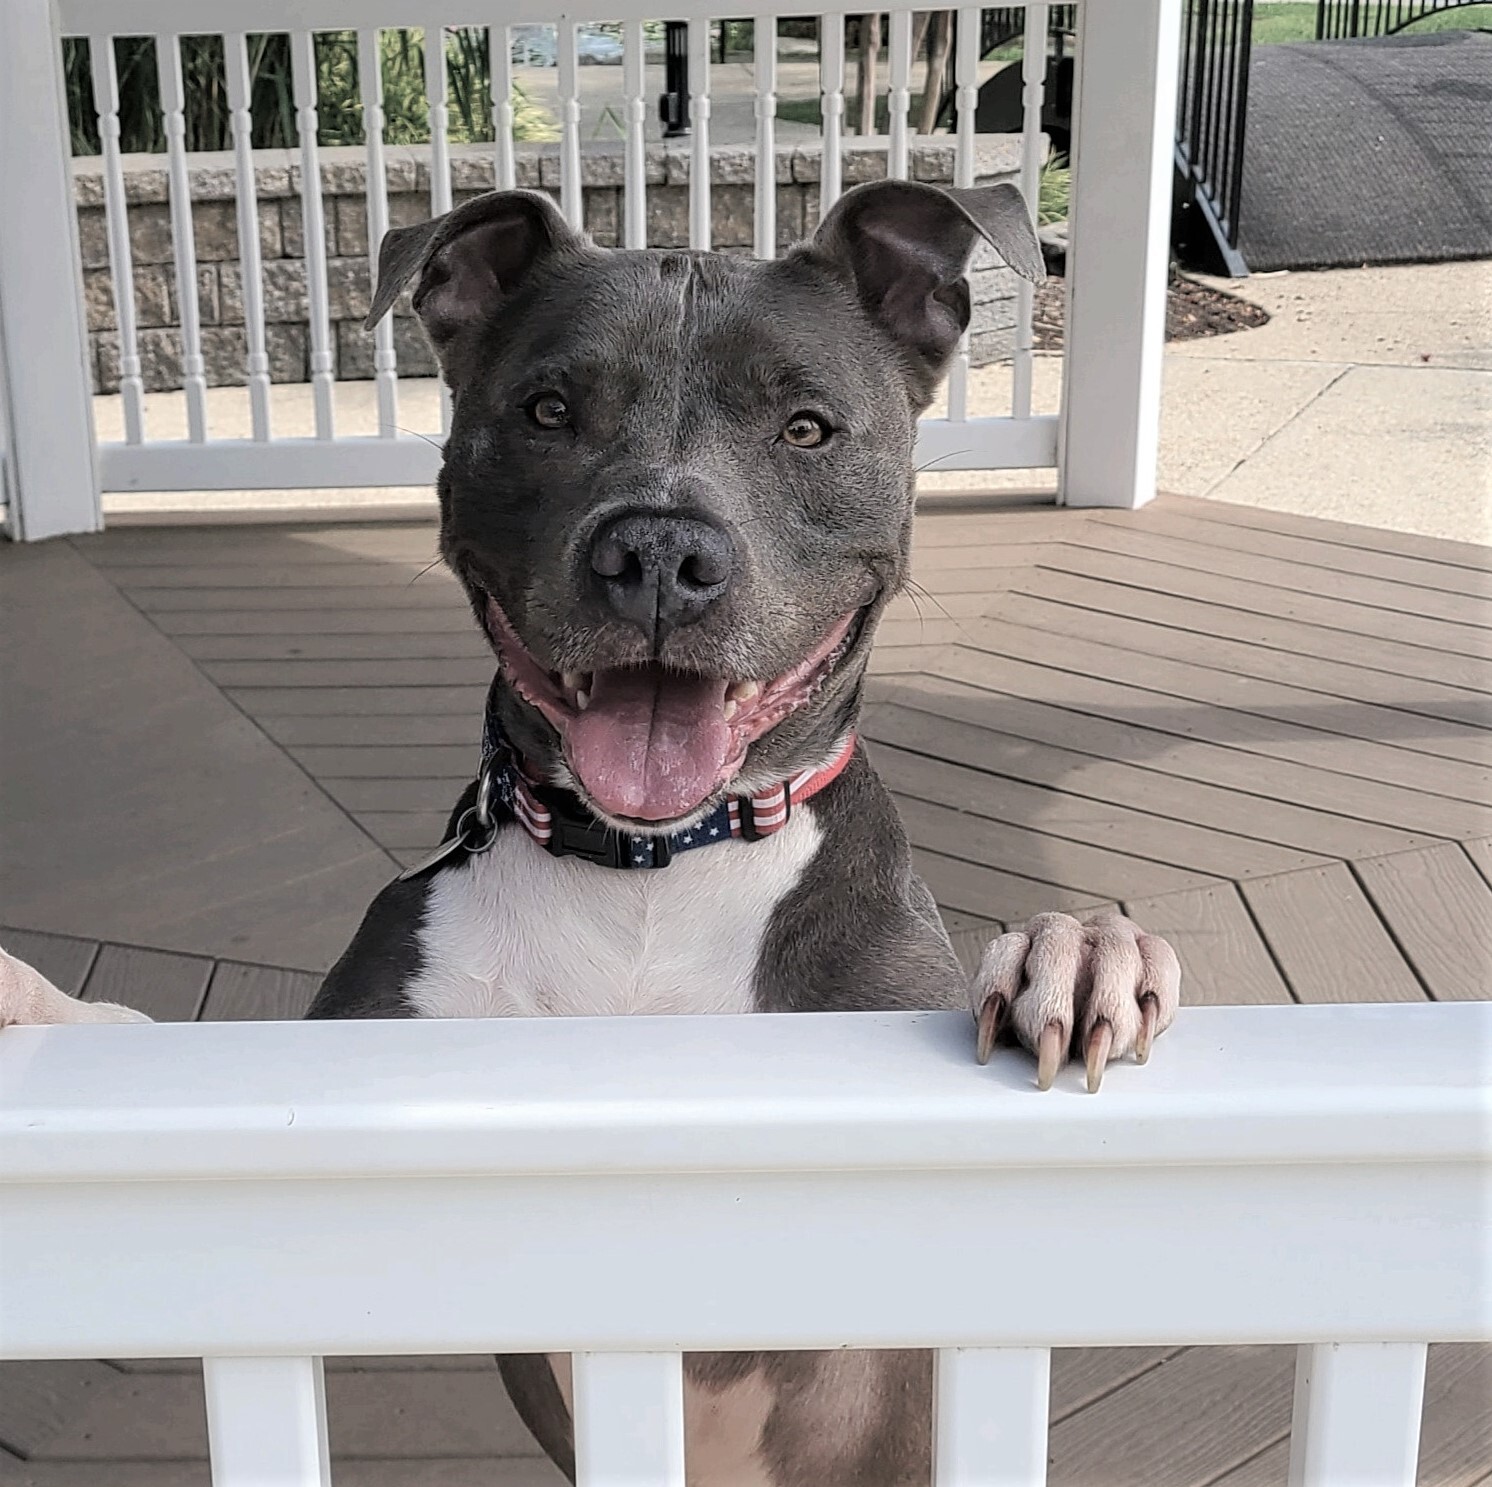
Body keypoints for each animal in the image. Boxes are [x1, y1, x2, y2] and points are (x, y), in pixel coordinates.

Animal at [5, 182, 1181, 1485]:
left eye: (807, 428)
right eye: (548, 410)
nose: (658, 550)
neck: (650, 873)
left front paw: (1079, 949)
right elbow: (133, 1039)